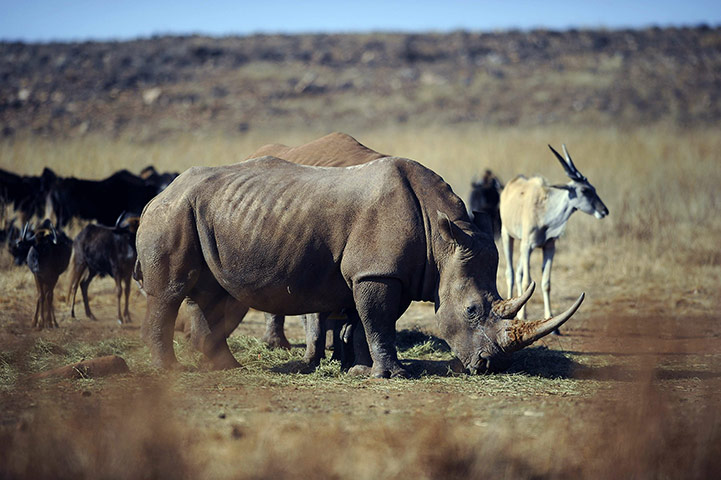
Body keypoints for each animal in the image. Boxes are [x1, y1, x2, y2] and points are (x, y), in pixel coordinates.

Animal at [135, 155, 584, 377]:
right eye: (472, 311)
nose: (492, 366)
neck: (443, 239)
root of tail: (158, 192)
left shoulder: (385, 271)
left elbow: (370, 320)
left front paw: (363, 369)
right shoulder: (377, 270)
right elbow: (379, 319)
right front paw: (394, 376)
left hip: (202, 212)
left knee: (214, 294)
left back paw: (227, 368)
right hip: (173, 212)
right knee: (171, 293)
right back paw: (171, 371)